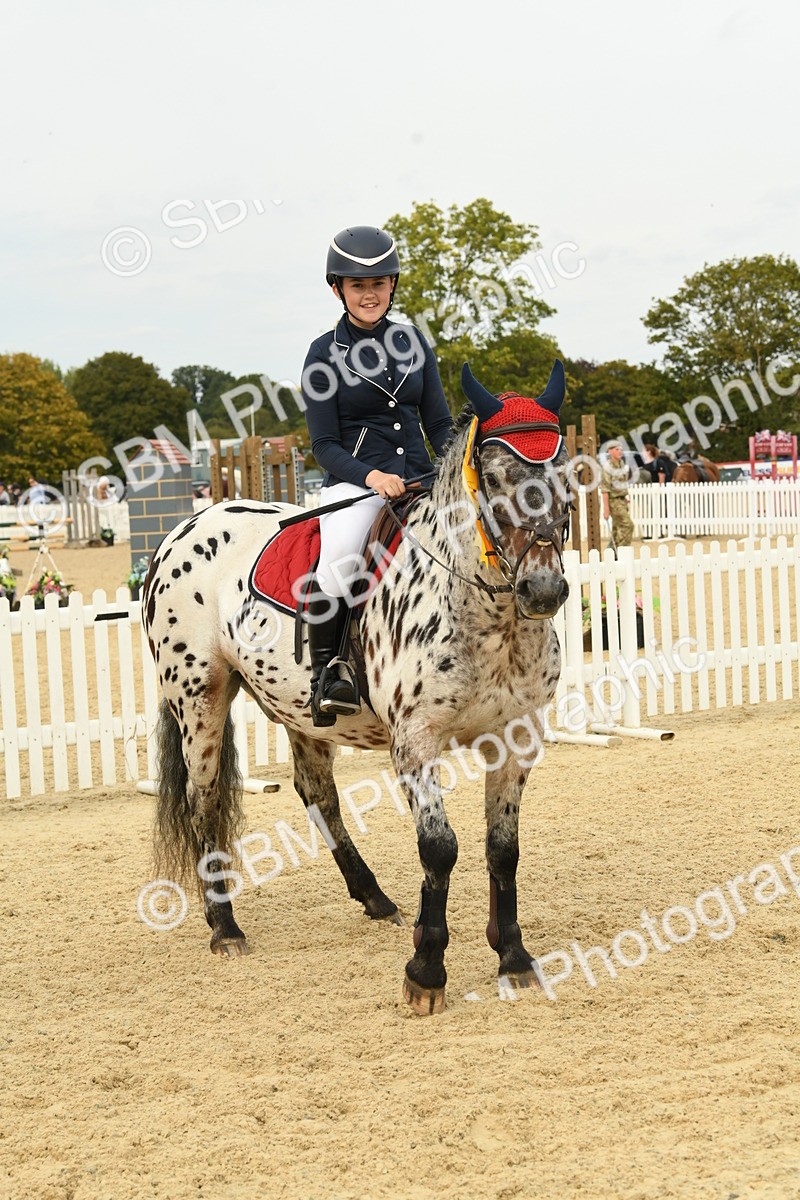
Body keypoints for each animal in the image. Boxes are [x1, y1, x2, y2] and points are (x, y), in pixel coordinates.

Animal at [142, 362, 573, 1015]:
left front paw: (515, 959)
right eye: (495, 477)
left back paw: (375, 899)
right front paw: (426, 972)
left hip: (296, 707)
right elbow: (439, 848)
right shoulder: (415, 740)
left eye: (566, 470)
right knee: (204, 799)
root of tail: (186, 526)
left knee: (316, 793)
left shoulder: (516, 737)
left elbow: (503, 849)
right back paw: (225, 927)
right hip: (200, 697)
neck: (489, 616)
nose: (543, 589)